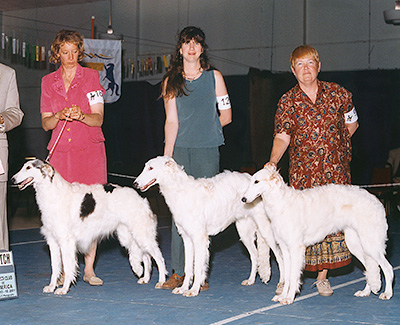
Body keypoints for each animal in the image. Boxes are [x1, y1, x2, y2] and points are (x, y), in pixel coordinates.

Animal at [11, 158, 166, 294]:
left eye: (28, 168)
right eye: (23, 167)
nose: (12, 179)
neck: (53, 193)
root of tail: (139, 195)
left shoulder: (66, 241)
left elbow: (67, 266)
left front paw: (63, 289)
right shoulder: (52, 240)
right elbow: (55, 267)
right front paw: (51, 286)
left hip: (141, 234)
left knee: (158, 258)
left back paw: (161, 281)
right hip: (129, 236)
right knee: (146, 257)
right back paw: (145, 278)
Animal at [133, 156, 282, 296]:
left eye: (151, 168)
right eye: (146, 167)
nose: (135, 183)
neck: (180, 191)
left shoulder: (199, 238)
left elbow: (198, 267)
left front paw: (193, 290)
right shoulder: (187, 238)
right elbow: (189, 267)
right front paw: (183, 288)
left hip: (266, 231)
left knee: (280, 257)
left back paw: (281, 286)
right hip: (244, 232)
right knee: (255, 256)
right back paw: (250, 280)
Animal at [242, 165, 392, 304]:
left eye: (256, 181)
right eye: (251, 181)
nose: (243, 199)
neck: (281, 204)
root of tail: (377, 201)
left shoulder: (296, 248)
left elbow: (293, 276)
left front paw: (289, 298)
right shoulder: (285, 248)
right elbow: (288, 274)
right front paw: (282, 296)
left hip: (370, 244)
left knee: (387, 268)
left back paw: (387, 294)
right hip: (355, 243)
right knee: (370, 268)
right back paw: (365, 292)